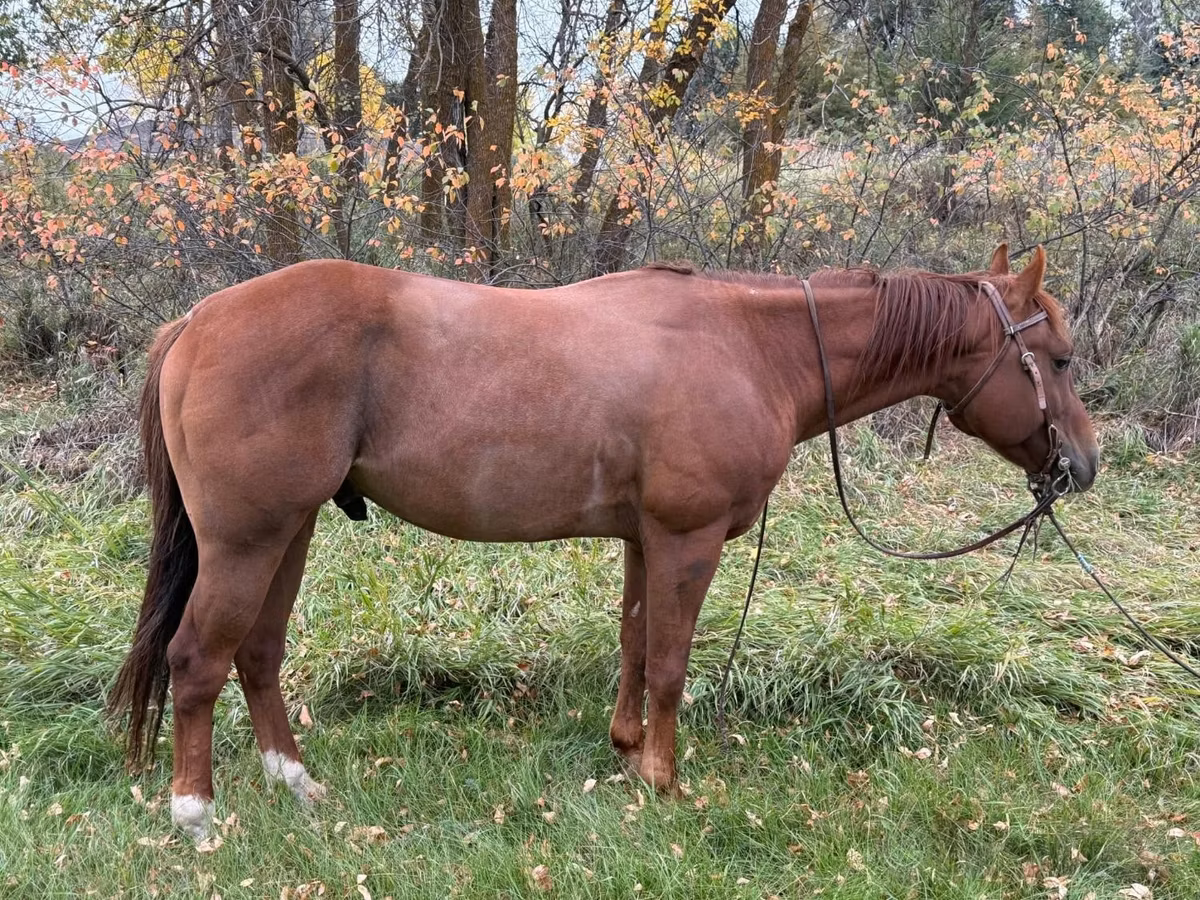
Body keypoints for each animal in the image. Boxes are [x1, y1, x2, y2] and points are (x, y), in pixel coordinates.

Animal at [108, 244, 1099, 839]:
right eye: (1057, 359)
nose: (1083, 463)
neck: (750, 345)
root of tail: (198, 321)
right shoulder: (688, 539)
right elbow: (668, 663)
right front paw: (663, 781)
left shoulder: (644, 538)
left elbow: (632, 644)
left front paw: (626, 753)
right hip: (249, 538)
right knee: (199, 658)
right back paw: (196, 812)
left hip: (291, 530)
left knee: (258, 654)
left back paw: (295, 784)